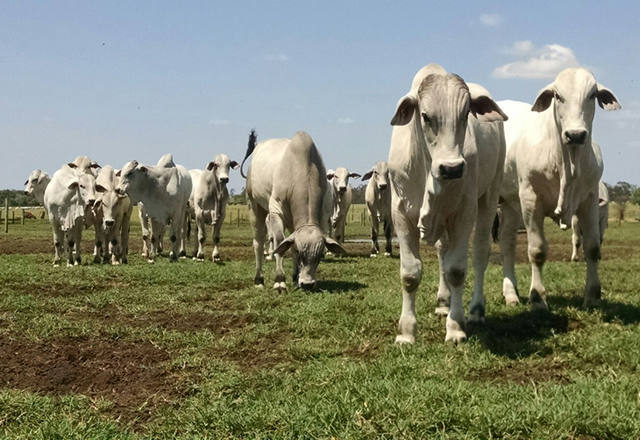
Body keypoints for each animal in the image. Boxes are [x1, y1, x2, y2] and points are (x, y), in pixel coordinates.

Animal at [244, 129, 344, 290]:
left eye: (320, 255)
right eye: (299, 251)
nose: (308, 284)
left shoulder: (324, 215)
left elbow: (290, 243)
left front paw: (296, 277)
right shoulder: (276, 211)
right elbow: (280, 243)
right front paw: (280, 280)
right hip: (254, 205)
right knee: (258, 241)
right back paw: (258, 279)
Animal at [388, 62, 508, 344]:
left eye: (465, 115)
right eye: (425, 116)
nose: (452, 168)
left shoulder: (464, 211)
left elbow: (456, 270)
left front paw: (456, 327)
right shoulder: (400, 213)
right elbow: (410, 273)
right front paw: (406, 332)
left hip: (489, 197)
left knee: (479, 253)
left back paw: (475, 310)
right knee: (443, 251)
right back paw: (443, 302)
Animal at [500, 67, 620, 312]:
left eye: (592, 94)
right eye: (557, 95)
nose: (575, 134)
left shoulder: (590, 199)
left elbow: (593, 247)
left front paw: (593, 296)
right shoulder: (530, 199)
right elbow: (537, 250)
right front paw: (537, 298)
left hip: (509, 203)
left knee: (507, 242)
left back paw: (511, 293)